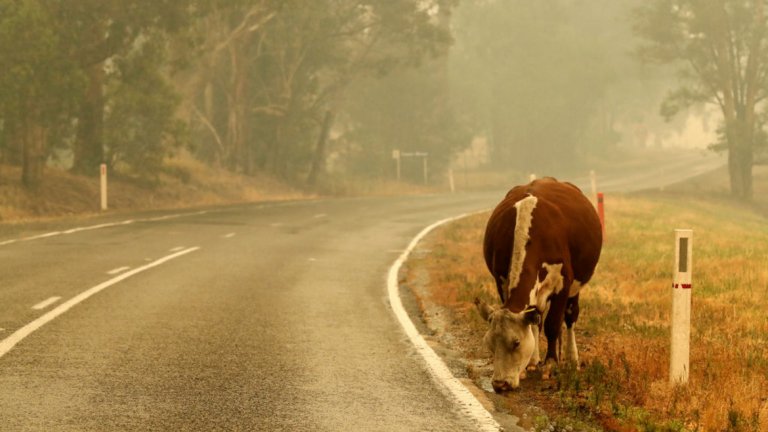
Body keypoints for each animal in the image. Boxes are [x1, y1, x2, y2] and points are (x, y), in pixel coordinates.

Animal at [474, 177, 608, 394]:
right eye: (489, 343)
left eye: (516, 342)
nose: (500, 384)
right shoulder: (501, 282)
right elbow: (535, 322)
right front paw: (529, 365)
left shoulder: (563, 284)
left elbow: (553, 325)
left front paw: (551, 364)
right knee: (537, 320)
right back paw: (533, 361)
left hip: (575, 288)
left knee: (570, 317)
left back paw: (571, 358)